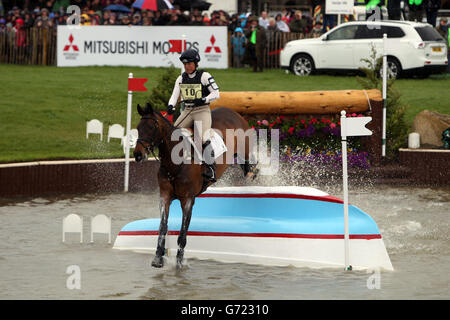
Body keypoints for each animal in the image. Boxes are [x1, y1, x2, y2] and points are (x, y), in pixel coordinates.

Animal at [133, 104, 256, 268]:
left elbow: (183, 233)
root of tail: (233, 112)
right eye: (138, 128)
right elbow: (163, 227)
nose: (138, 155)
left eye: (152, 127)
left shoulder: (188, 200)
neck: (175, 163)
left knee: (251, 168)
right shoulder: (164, 197)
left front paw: (179, 263)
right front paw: (158, 257)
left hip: (245, 152)